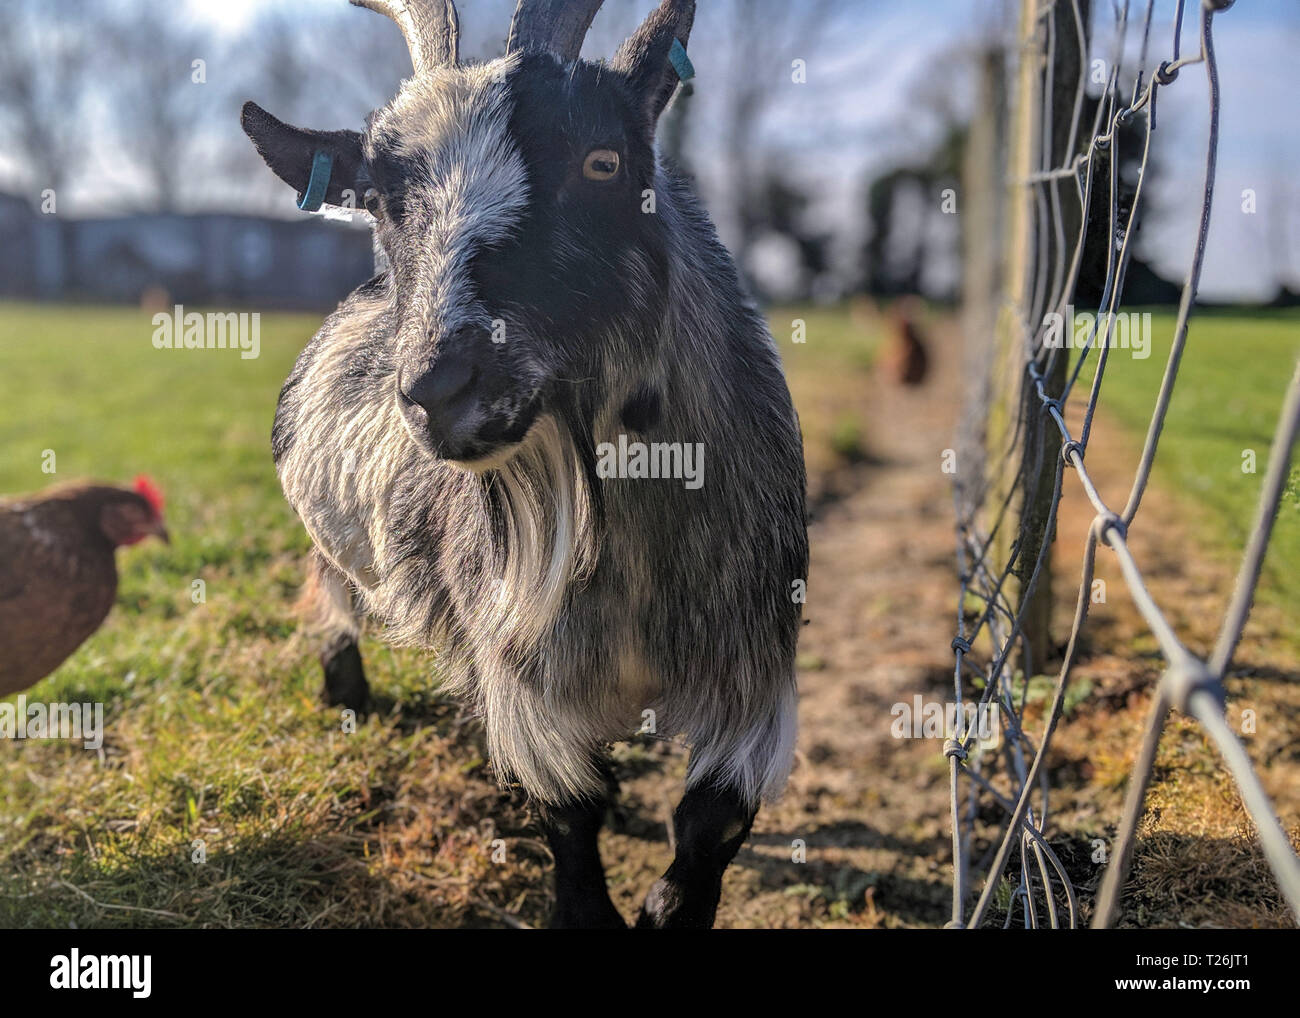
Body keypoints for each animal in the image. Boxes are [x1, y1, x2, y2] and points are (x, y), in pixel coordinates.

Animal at [240, 0, 806, 925]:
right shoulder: (524, 677)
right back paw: (346, 693)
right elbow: (571, 814)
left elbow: (711, 822)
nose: (439, 387)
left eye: (603, 160)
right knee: (330, 593)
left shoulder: (754, 665)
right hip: (337, 544)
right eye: (381, 199)